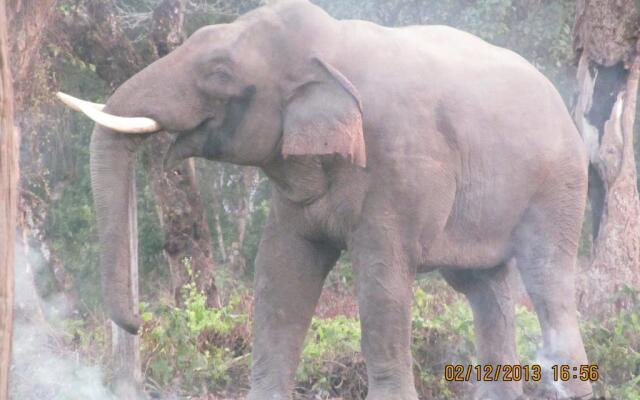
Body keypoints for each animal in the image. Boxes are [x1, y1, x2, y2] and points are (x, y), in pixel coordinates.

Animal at [57, 0, 592, 400]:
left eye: (219, 71)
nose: (139, 323)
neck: (334, 43)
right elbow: (280, 274)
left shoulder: (397, 167)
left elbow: (381, 282)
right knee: (484, 286)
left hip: (561, 183)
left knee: (547, 277)